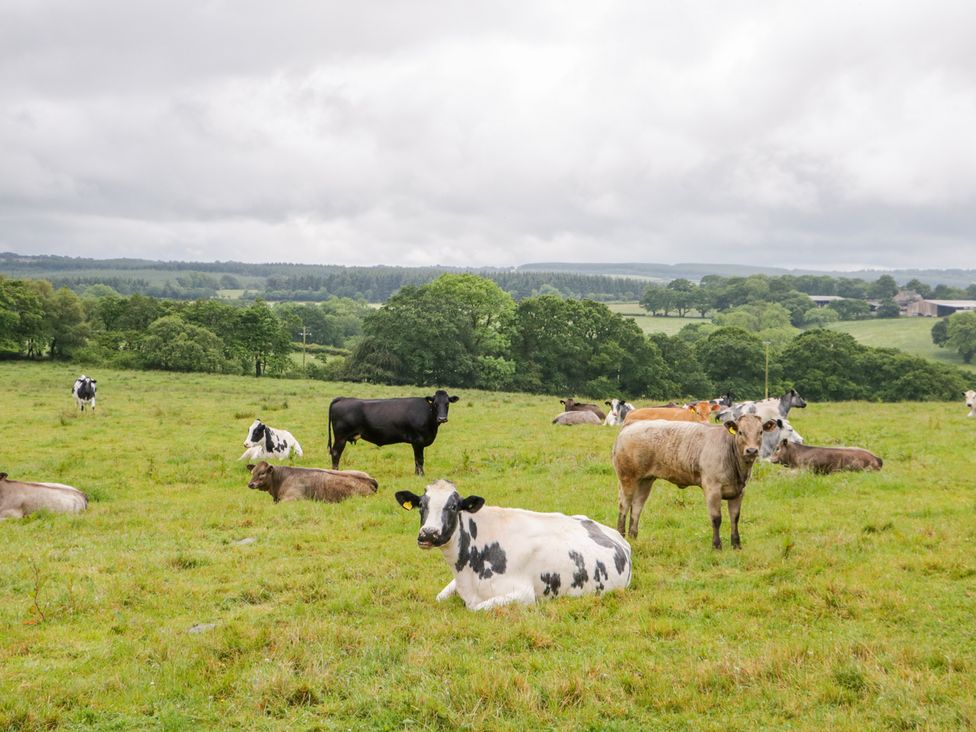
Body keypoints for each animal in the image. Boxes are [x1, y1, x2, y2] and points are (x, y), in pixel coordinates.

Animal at [326, 388, 460, 474]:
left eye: (447, 403)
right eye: (435, 404)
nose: (442, 418)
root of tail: (343, 399)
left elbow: (417, 459)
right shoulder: (417, 441)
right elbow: (419, 459)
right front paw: (421, 475)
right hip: (341, 437)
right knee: (336, 453)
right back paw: (335, 472)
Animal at [396, 480, 632, 612]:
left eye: (453, 506)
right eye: (421, 505)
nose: (428, 533)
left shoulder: (524, 594)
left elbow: (477, 608)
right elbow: (439, 598)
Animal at [608, 414, 776, 548]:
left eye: (760, 432)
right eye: (741, 432)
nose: (752, 450)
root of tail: (632, 424)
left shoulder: (739, 491)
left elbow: (735, 518)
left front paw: (736, 545)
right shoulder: (712, 488)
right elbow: (716, 518)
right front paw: (717, 545)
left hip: (645, 481)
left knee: (637, 506)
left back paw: (633, 537)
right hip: (627, 478)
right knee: (624, 505)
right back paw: (622, 536)